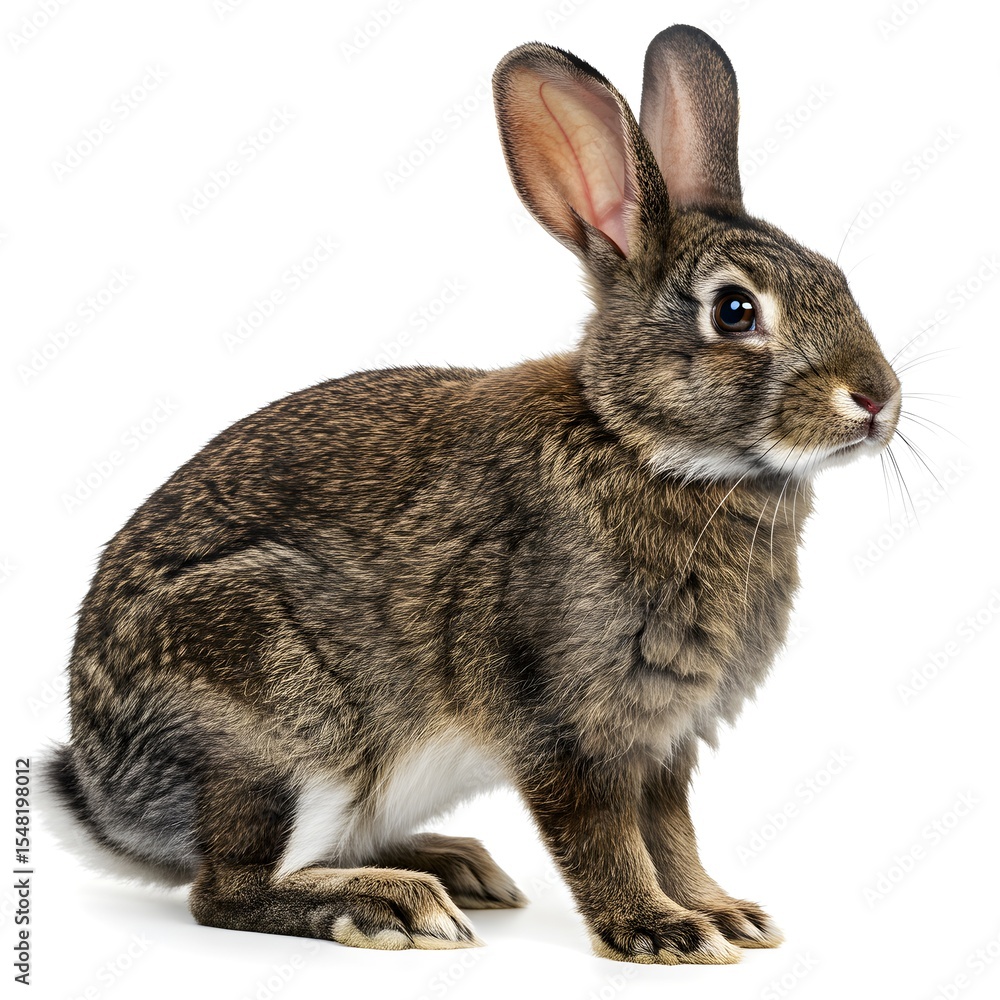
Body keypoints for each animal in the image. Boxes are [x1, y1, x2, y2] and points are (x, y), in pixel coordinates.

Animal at [42, 25, 900, 965]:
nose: (878, 398)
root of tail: (106, 799)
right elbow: (602, 834)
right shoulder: (565, 719)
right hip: (280, 723)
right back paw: (393, 905)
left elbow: (672, 833)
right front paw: (660, 931)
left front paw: (727, 915)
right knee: (225, 890)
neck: (639, 443)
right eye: (737, 311)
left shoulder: (666, 737)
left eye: (837, 276)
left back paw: (454, 868)